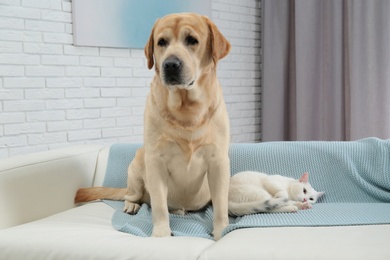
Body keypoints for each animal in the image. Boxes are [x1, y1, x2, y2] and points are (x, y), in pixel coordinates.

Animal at [74, 12, 230, 240]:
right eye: (161, 42)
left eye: (192, 40)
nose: (170, 64)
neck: (186, 109)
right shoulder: (156, 161)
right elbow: (159, 205)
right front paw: (161, 234)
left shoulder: (218, 161)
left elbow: (220, 205)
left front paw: (221, 231)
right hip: (138, 164)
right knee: (135, 195)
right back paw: (131, 205)